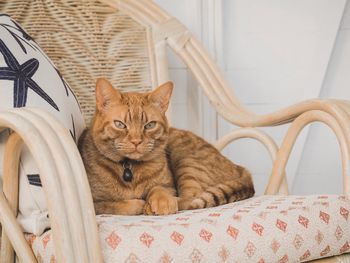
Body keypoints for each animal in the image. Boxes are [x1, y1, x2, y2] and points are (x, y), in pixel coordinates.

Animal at [78, 79, 254, 217]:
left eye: (149, 125)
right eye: (120, 124)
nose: (136, 141)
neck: (129, 168)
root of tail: (239, 167)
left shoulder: (169, 186)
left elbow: (160, 189)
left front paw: (161, 202)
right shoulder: (95, 204)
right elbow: (116, 204)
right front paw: (140, 204)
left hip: (186, 160)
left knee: (191, 198)